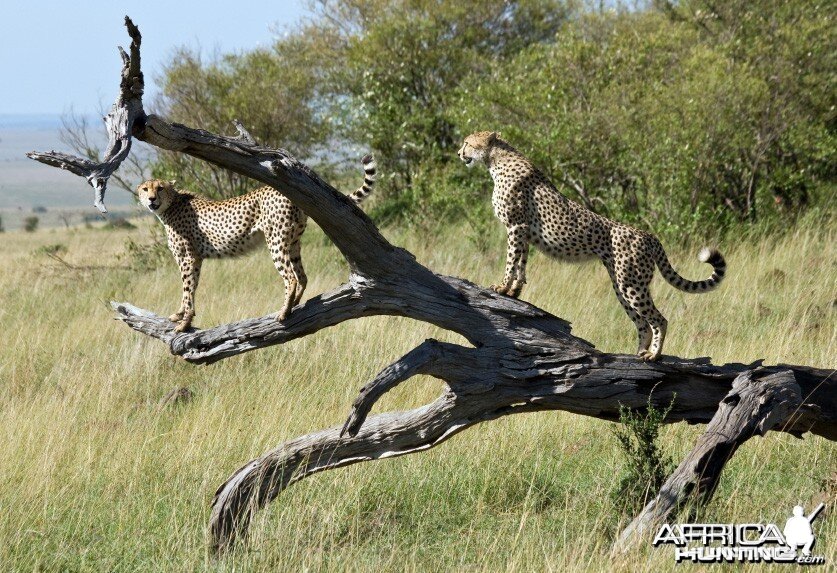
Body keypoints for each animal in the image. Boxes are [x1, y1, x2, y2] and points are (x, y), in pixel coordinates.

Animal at [136, 154, 378, 330]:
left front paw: (184, 323)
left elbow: (187, 290)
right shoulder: (195, 259)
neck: (171, 204)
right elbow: (190, 288)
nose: (151, 199)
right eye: (145, 189)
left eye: (160, 188)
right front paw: (180, 315)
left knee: (290, 277)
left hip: (276, 242)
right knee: (302, 276)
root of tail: (284, 192)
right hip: (293, 242)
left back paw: (283, 311)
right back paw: (294, 304)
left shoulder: (187, 258)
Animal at [458, 132, 724, 360]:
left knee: (659, 319)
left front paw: (502, 287)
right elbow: (521, 264)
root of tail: (649, 235)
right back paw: (638, 353)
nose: (459, 153)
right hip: (621, 285)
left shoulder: (516, 227)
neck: (496, 160)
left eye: (467, 143)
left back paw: (654, 355)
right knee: (642, 323)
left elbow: (511, 261)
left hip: (632, 284)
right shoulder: (524, 232)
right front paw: (513, 291)